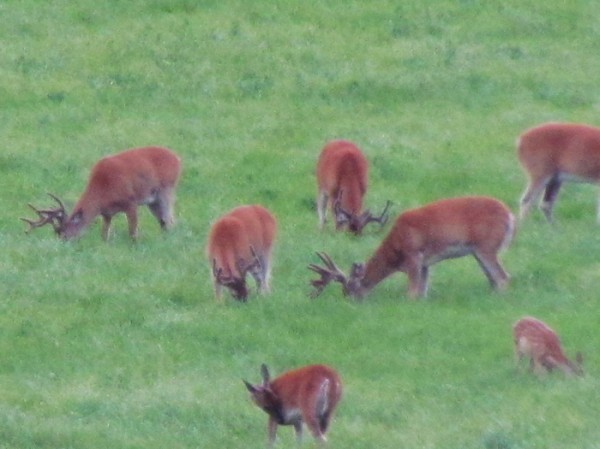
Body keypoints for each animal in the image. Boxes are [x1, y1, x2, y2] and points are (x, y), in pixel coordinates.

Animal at [21, 145, 180, 240]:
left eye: (63, 233)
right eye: (57, 233)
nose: (62, 245)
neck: (103, 191)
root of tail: (177, 158)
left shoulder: (130, 201)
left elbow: (133, 232)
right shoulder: (106, 213)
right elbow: (104, 234)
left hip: (167, 189)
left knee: (170, 219)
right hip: (153, 200)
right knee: (164, 221)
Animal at [310, 195, 516, 298]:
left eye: (349, 288)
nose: (349, 302)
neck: (395, 250)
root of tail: (510, 216)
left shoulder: (413, 256)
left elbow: (412, 292)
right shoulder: (425, 263)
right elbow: (422, 291)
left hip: (486, 246)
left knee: (503, 277)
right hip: (478, 251)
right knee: (494, 278)